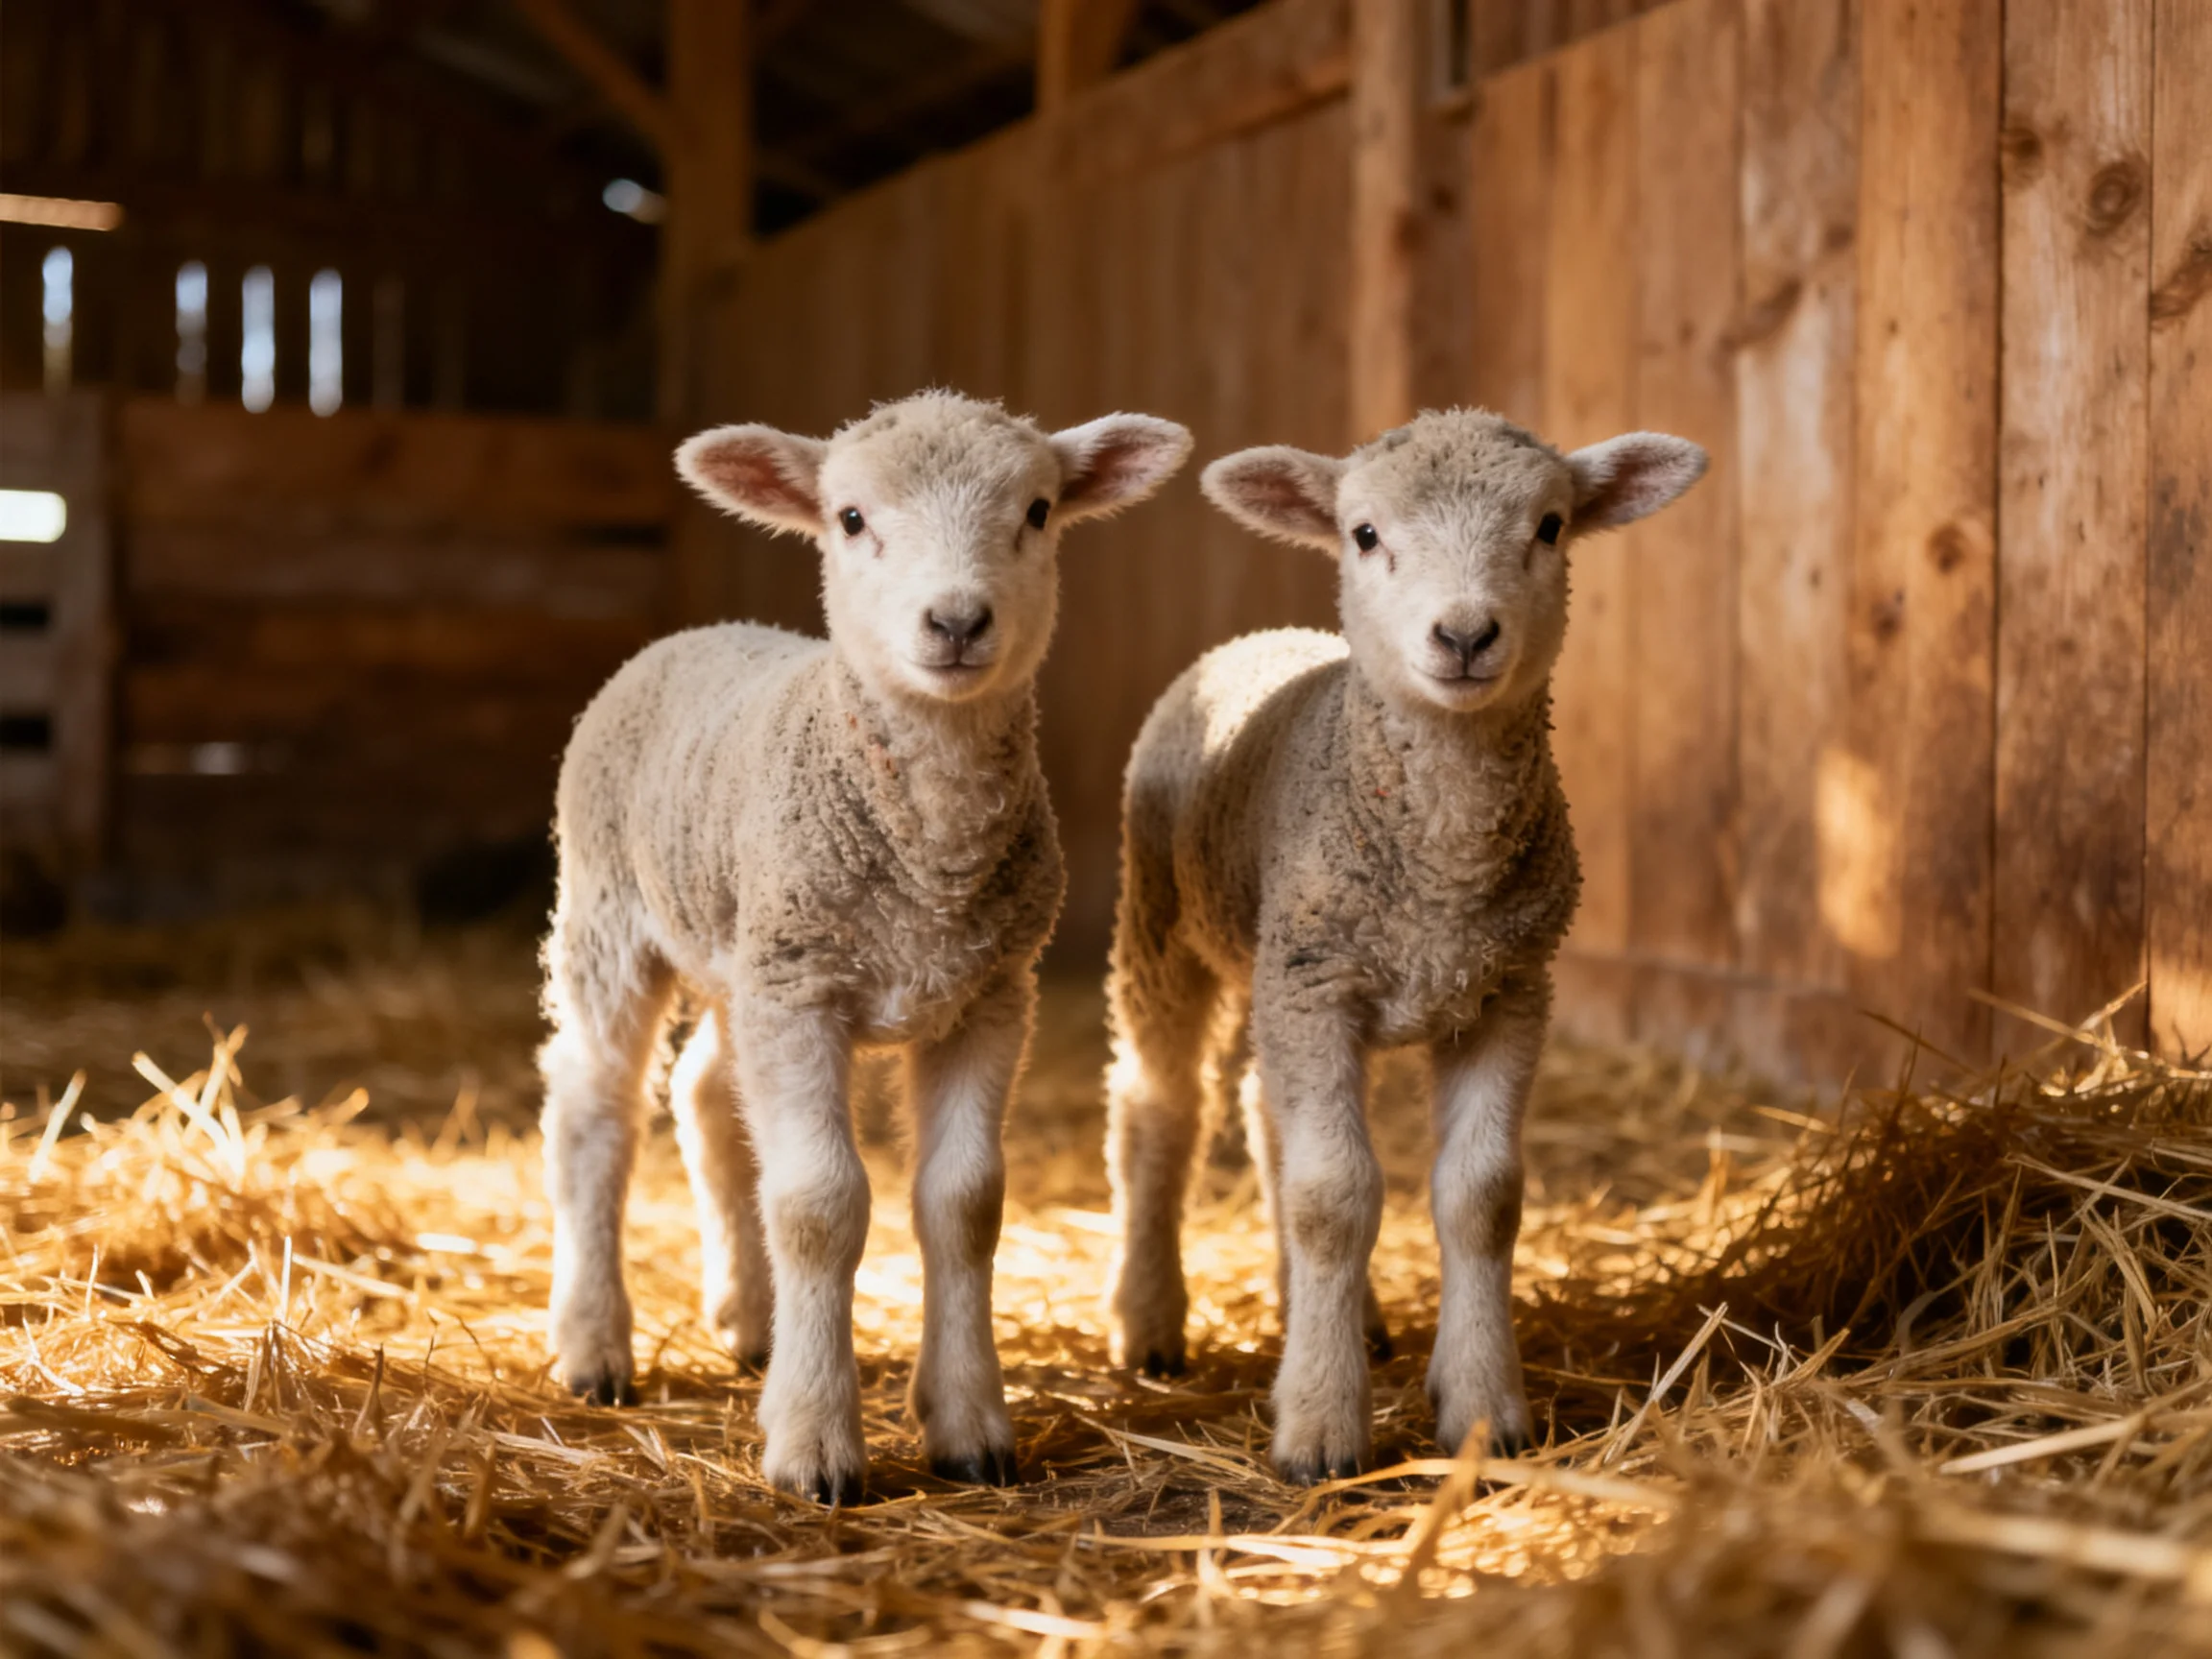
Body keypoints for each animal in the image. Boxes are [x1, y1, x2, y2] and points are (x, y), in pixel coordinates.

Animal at [542, 390, 1191, 1504]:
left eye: (1037, 511)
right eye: (849, 518)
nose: (958, 621)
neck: (928, 857)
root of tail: (700, 631)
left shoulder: (985, 994)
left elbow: (965, 1203)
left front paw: (970, 1428)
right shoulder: (803, 993)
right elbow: (820, 1205)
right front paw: (814, 1445)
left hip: (745, 947)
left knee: (705, 1093)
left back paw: (751, 1322)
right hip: (614, 917)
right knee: (595, 1110)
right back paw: (595, 1347)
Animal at [1103, 408, 1705, 1482]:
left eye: (1550, 526)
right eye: (1365, 534)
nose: (1465, 635)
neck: (1442, 880)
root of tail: (1265, 636)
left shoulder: (1507, 988)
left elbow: (1481, 1198)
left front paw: (1483, 1413)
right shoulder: (1321, 987)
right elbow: (1334, 1197)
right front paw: (1320, 1430)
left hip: (1280, 970)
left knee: (1262, 1115)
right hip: (1167, 931)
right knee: (1158, 1108)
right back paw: (1151, 1323)